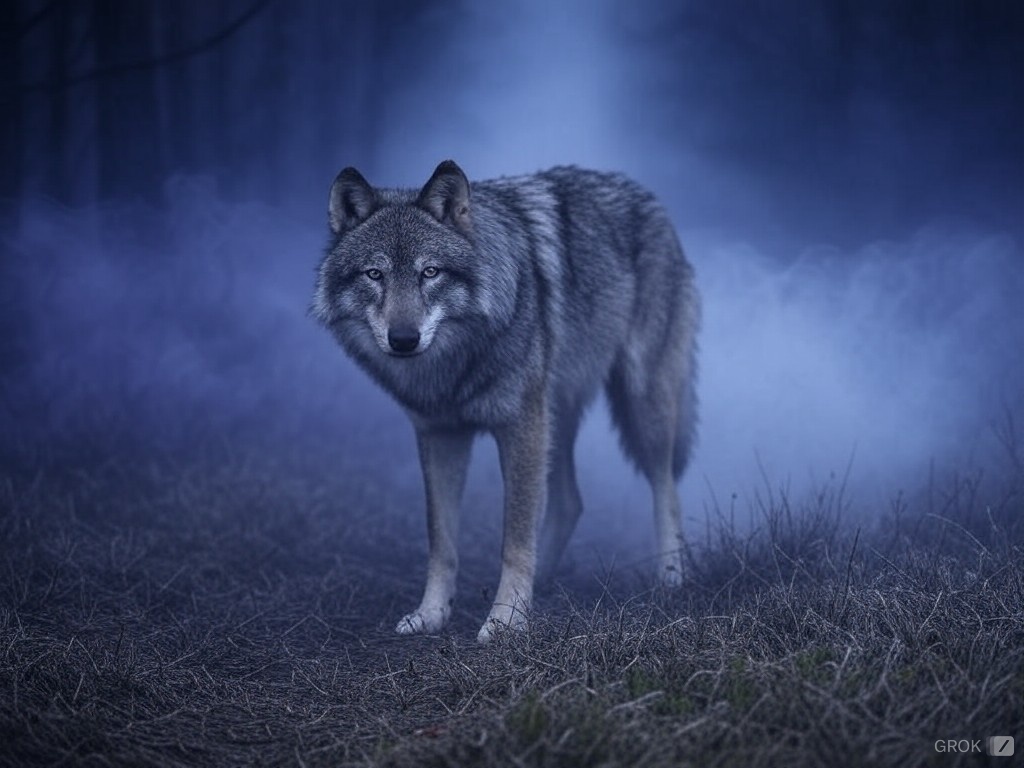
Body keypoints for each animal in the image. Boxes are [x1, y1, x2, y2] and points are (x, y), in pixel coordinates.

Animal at [312, 160, 699, 642]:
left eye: (430, 272)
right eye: (374, 275)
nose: (404, 339)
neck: (455, 368)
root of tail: (645, 196)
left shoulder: (519, 428)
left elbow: (514, 538)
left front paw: (507, 619)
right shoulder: (440, 435)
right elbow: (441, 540)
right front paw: (432, 614)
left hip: (640, 406)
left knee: (666, 486)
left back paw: (671, 577)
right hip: (555, 420)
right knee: (570, 502)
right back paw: (546, 583)